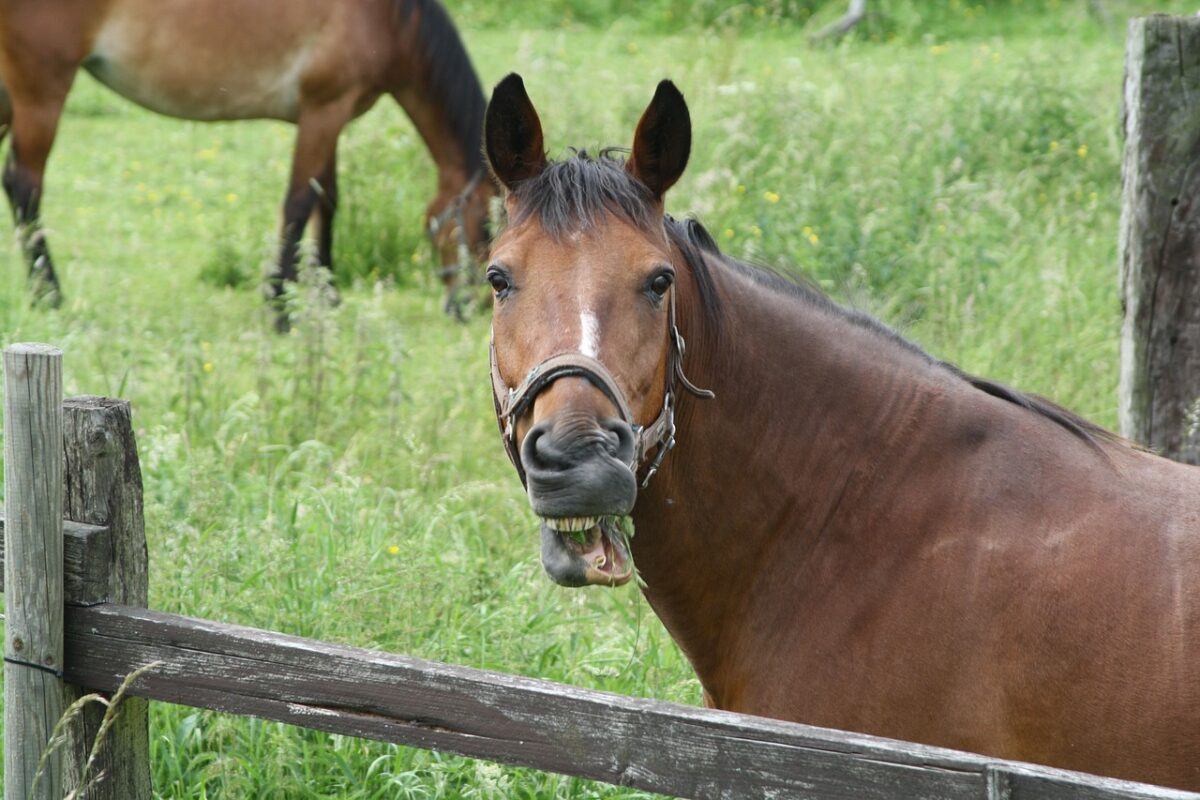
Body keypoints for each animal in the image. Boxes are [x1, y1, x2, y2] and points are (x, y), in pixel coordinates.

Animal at [0, 0, 496, 326]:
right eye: (488, 227)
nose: (469, 307)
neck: (388, 18)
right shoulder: (323, 112)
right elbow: (298, 204)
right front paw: (279, 307)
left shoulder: (329, 118)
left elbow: (327, 202)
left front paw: (326, 296)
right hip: (41, 92)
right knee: (25, 185)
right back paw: (49, 294)